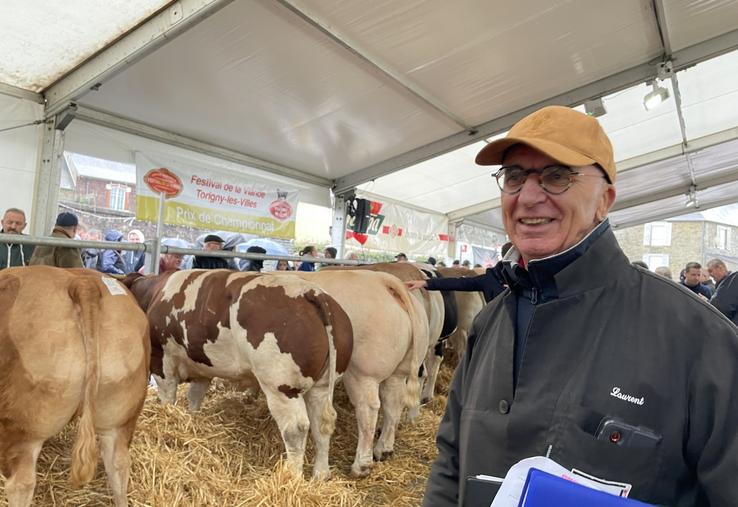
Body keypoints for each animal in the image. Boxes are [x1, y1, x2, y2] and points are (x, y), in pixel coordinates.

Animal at [122, 270, 352, 480]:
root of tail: (311, 292)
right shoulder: (202, 369)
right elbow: (195, 398)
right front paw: (192, 419)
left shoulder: (161, 360)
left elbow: (168, 398)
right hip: (322, 386)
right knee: (323, 423)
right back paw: (320, 475)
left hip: (281, 386)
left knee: (295, 428)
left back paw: (292, 477)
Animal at [290, 272, 428, 478]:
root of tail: (383, 280)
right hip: (399, 371)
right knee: (393, 403)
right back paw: (383, 449)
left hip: (362, 373)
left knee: (368, 410)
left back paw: (361, 466)